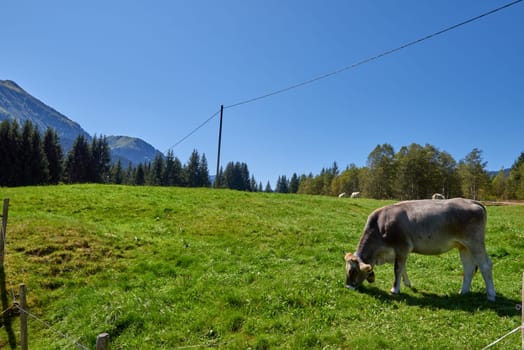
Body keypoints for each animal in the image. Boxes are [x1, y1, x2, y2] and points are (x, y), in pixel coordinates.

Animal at [344, 198, 496, 302]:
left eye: (352, 271)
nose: (347, 287)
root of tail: (472, 201)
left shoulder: (401, 247)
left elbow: (397, 269)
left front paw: (395, 289)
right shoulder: (398, 252)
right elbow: (403, 268)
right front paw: (407, 284)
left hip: (475, 243)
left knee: (485, 265)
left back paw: (491, 295)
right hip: (463, 246)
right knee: (468, 268)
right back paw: (463, 292)